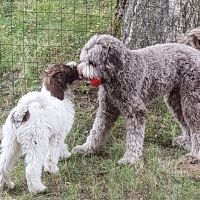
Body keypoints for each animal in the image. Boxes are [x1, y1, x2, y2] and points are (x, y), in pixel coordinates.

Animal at [0, 62, 78, 192]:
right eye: (68, 69)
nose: (76, 64)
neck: (54, 95)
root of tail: (21, 112)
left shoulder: (56, 135)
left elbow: (60, 147)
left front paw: (65, 154)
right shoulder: (57, 136)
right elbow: (52, 155)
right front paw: (52, 169)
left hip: (11, 143)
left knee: (3, 164)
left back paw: (7, 185)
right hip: (36, 143)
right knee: (31, 168)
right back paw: (37, 188)